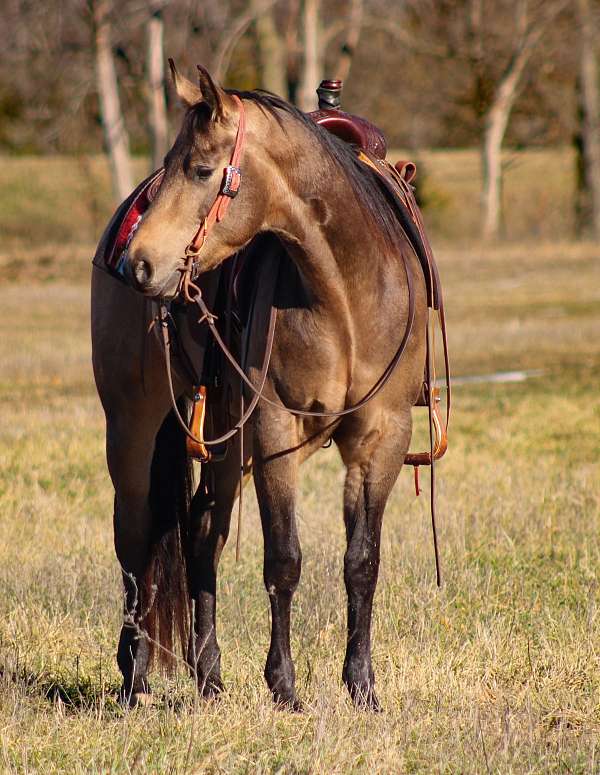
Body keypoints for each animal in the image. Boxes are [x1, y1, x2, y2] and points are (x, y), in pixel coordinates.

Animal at [91, 63, 448, 712]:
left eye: (201, 169)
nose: (138, 264)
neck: (344, 293)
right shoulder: (277, 431)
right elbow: (284, 559)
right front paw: (283, 685)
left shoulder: (381, 438)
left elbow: (362, 561)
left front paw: (361, 684)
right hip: (132, 426)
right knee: (134, 536)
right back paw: (134, 676)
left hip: (224, 442)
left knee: (202, 534)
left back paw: (209, 676)